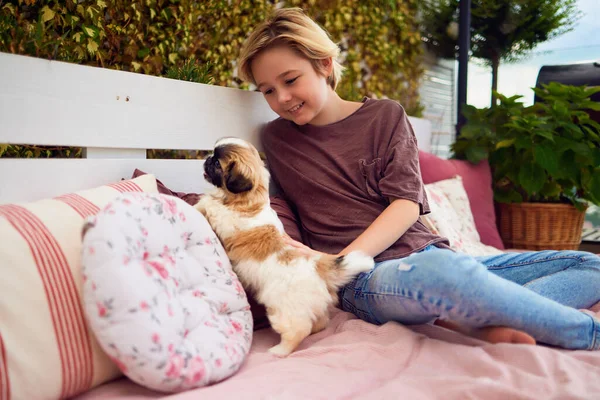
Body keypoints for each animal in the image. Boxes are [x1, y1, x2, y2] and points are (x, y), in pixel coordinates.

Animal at [197, 138, 372, 356]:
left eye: (217, 164)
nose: (206, 158)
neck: (248, 198)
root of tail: (318, 268)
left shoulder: (228, 218)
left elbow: (211, 205)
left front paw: (201, 204)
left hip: (284, 311)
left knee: (297, 330)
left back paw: (279, 350)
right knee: (320, 321)